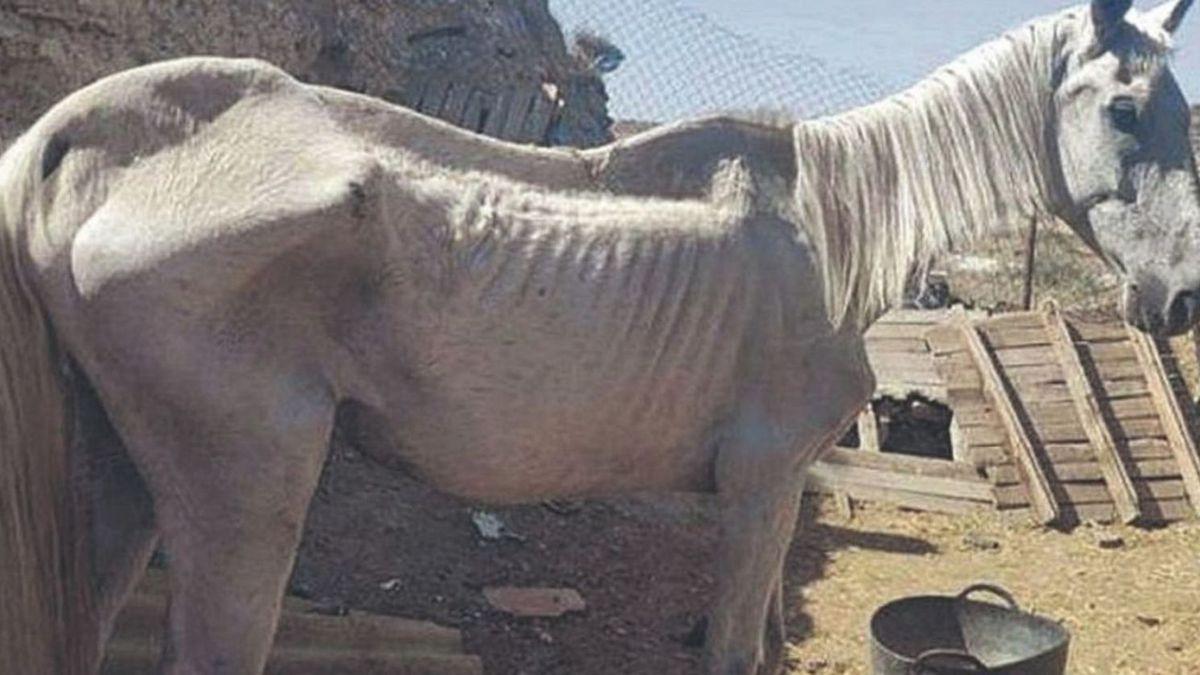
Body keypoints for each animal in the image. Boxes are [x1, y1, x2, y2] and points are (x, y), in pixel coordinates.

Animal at [0, 1, 1195, 672]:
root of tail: (82, 137)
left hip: (122, 475)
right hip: (246, 489)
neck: (829, 227)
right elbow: (733, 648)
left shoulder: (778, 494)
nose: (1180, 296)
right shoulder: (763, 486)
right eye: (1127, 109)